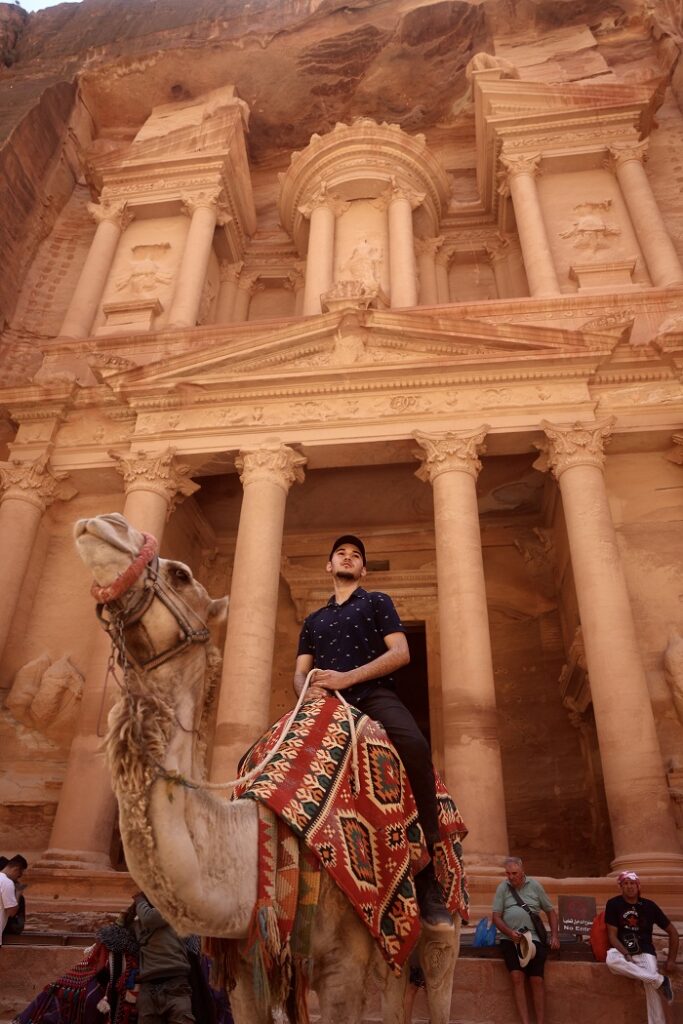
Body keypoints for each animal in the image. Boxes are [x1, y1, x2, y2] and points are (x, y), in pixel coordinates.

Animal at [74, 516, 458, 1024]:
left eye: (181, 574)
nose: (104, 523)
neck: (262, 838)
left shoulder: (345, 963)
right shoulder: (247, 961)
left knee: (437, 962)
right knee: (397, 988)